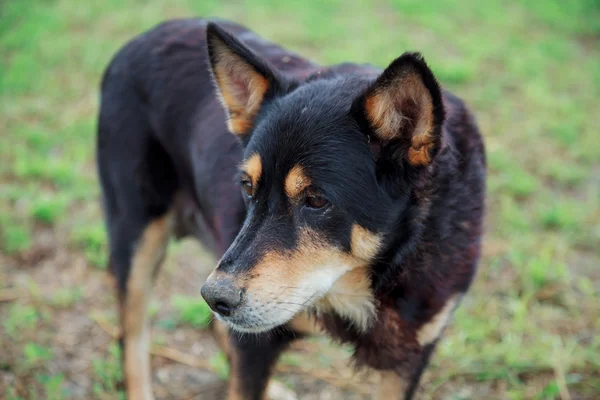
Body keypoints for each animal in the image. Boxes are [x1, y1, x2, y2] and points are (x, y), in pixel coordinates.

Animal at [96, 17, 486, 398]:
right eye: (247, 186)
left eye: (316, 200)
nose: (215, 297)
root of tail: (146, 34)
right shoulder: (256, 346)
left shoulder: (409, 357)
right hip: (137, 241)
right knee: (131, 338)